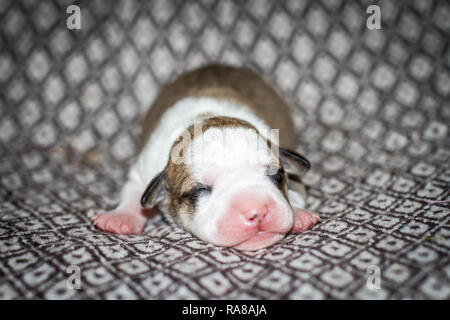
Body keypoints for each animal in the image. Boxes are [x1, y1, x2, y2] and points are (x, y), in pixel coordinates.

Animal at [91, 65, 318, 250]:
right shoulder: (143, 170)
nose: (257, 212)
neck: (204, 118)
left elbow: (297, 187)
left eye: (276, 175)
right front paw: (119, 216)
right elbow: (134, 193)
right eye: (200, 189)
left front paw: (299, 212)